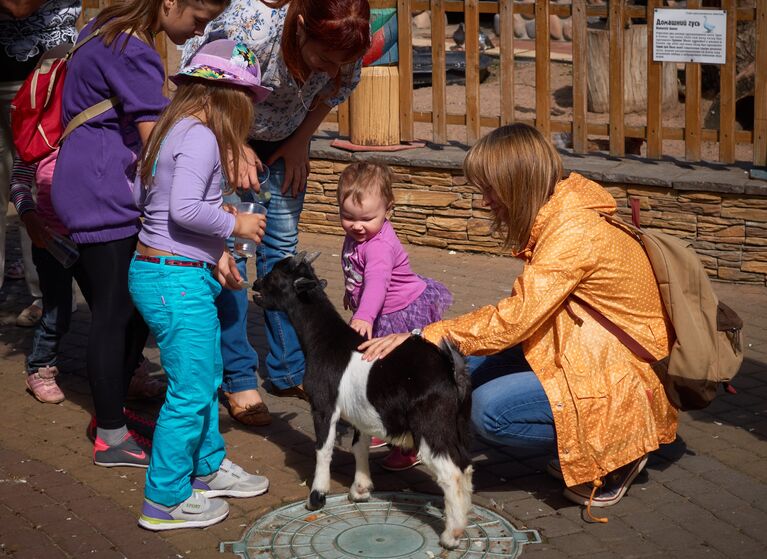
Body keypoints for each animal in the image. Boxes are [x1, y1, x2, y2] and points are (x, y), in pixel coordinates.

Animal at [254, 254, 474, 552]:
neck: (326, 342)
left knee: (450, 473)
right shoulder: (360, 413)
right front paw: (359, 490)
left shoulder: (323, 405)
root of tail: (450, 371)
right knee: (465, 465)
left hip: (431, 425)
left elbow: (323, 448)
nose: (255, 283)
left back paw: (451, 535)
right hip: (457, 425)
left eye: (276, 277)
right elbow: (359, 446)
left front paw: (316, 497)